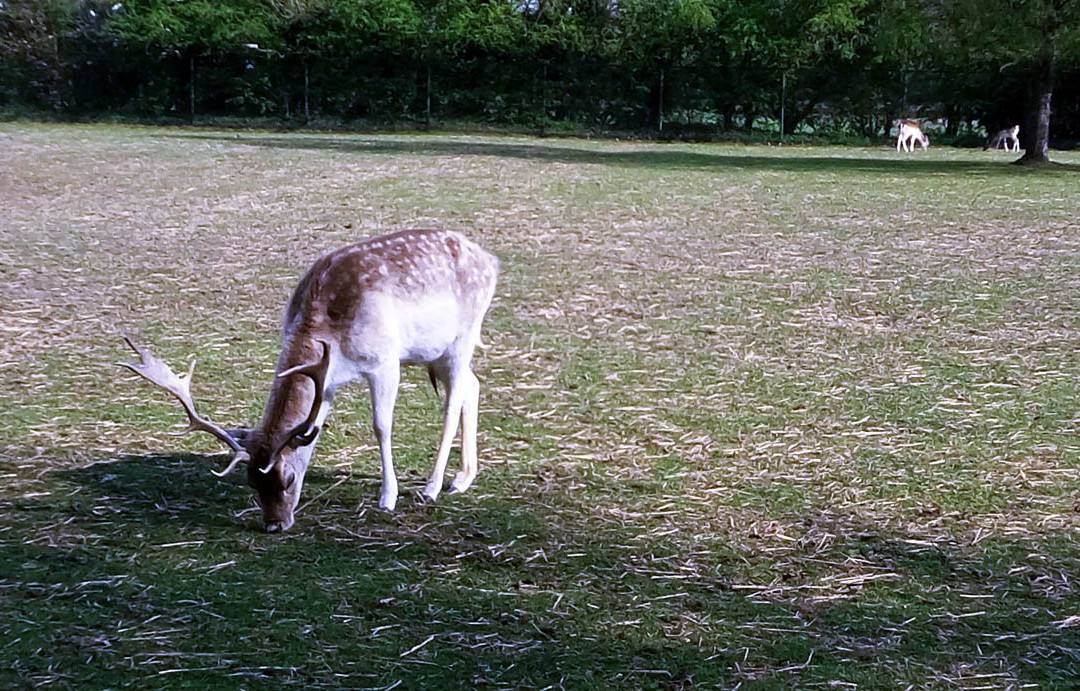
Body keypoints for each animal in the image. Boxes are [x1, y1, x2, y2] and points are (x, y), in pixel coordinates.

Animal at [120, 228, 498, 531]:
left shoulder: (385, 360)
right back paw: (462, 479)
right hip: (437, 350)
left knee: (453, 401)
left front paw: (387, 498)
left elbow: (381, 426)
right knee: (472, 384)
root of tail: (491, 260)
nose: (274, 525)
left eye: (287, 479)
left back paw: (432, 487)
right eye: (251, 483)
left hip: (463, 336)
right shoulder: (326, 379)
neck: (329, 328)